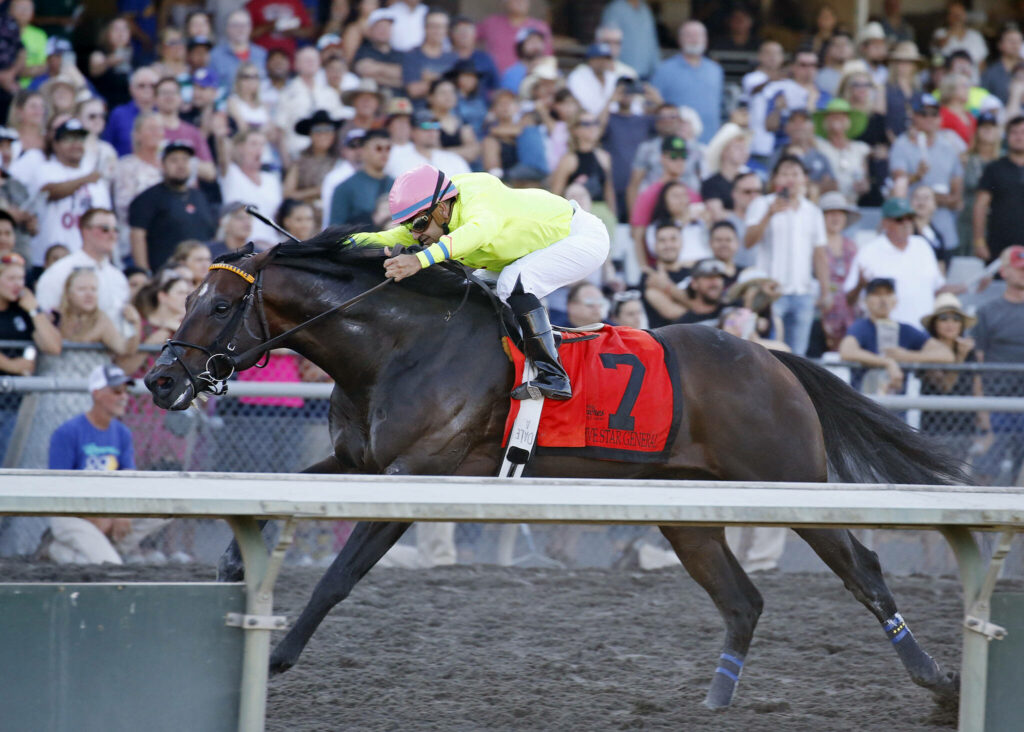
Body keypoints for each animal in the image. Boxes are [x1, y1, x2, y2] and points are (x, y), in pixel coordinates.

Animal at [146, 233, 966, 708]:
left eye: (217, 304)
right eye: (182, 295)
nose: (159, 381)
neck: (399, 347)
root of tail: (771, 355)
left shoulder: (416, 475)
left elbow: (339, 576)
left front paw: (280, 655)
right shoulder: (359, 463)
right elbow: (273, 506)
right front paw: (231, 566)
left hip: (787, 480)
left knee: (861, 567)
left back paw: (938, 680)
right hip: (685, 509)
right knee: (743, 599)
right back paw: (714, 704)